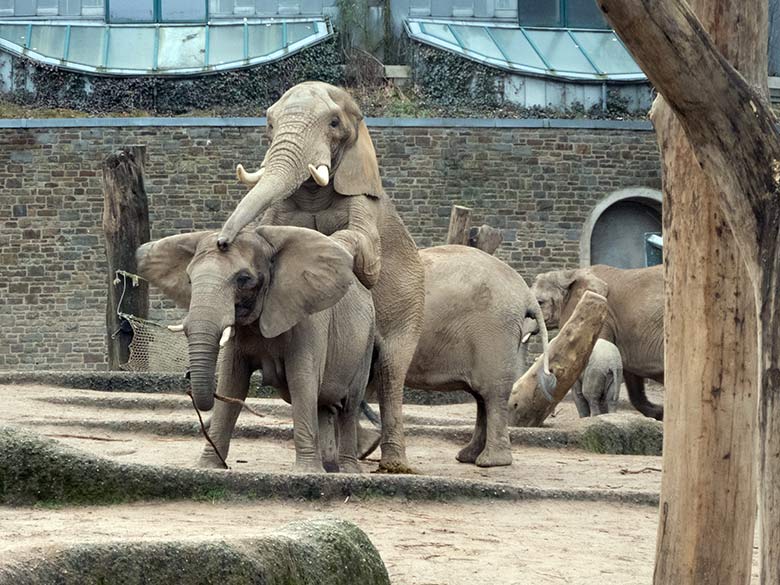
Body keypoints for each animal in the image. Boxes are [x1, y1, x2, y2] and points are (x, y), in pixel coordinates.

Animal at [138, 226, 378, 472]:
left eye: (243, 279)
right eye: (188, 279)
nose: (186, 375)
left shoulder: (307, 319)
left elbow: (301, 380)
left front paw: (305, 472)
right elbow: (232, 382)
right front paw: (208, 466)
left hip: (367, 341)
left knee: (349, 405)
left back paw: (347, 470)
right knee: (324, 404)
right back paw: (329, 468)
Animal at [216, 83, 424, 474]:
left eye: (334, 123)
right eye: (269, 123)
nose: (222, 241)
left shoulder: (363, 201)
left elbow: (366, 256)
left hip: (410, 308)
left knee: (390, 374)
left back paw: (391, 465)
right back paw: (338, 460)